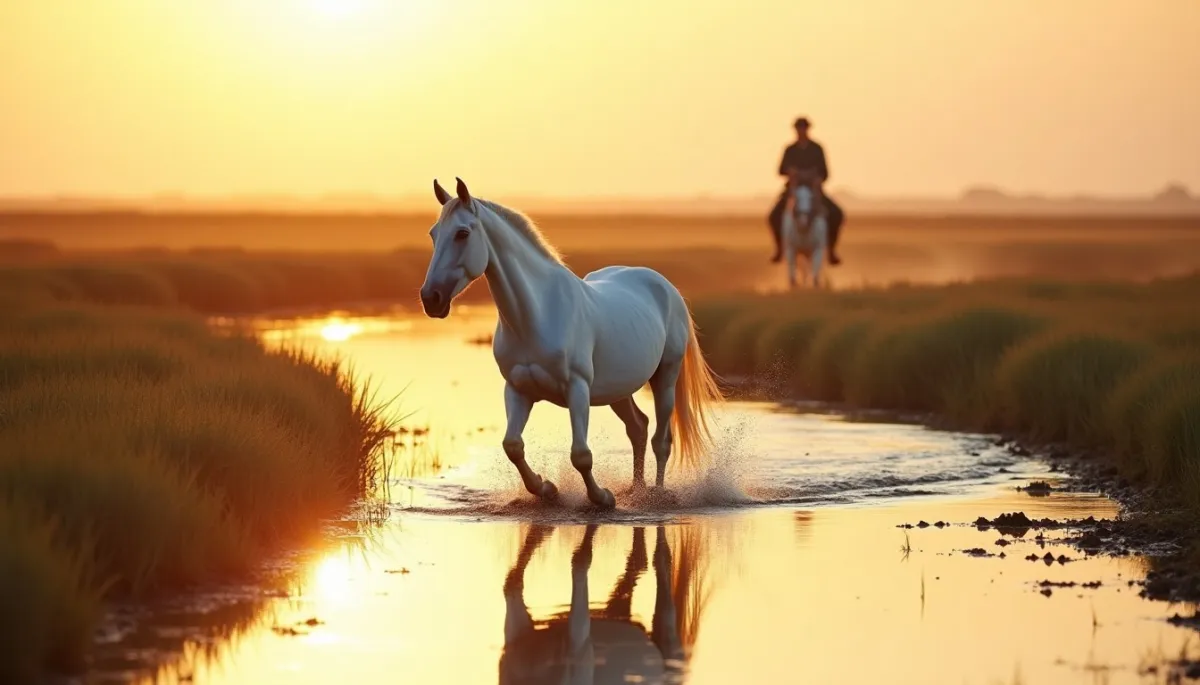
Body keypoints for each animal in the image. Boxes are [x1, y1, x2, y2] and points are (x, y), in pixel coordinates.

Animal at [419, 178, 724, 510]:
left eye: (462, 233)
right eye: (434, 234)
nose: (431, 298)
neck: (536, 315)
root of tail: (665, 287)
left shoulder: (577, 389)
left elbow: (581, 455)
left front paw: (602, 497)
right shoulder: (517, 390)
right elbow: (512, 445)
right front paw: (547, 488)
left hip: (665, 377)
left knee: (661, 440)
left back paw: (654, 495)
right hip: (618, 389)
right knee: (638, 428)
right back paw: (636, 490)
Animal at [499, 524, 700, 685]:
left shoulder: (578, 642)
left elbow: (581, 560)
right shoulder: (518, 628)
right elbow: (512, 583)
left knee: (662, 561)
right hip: (619, 614)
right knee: (639, 560)